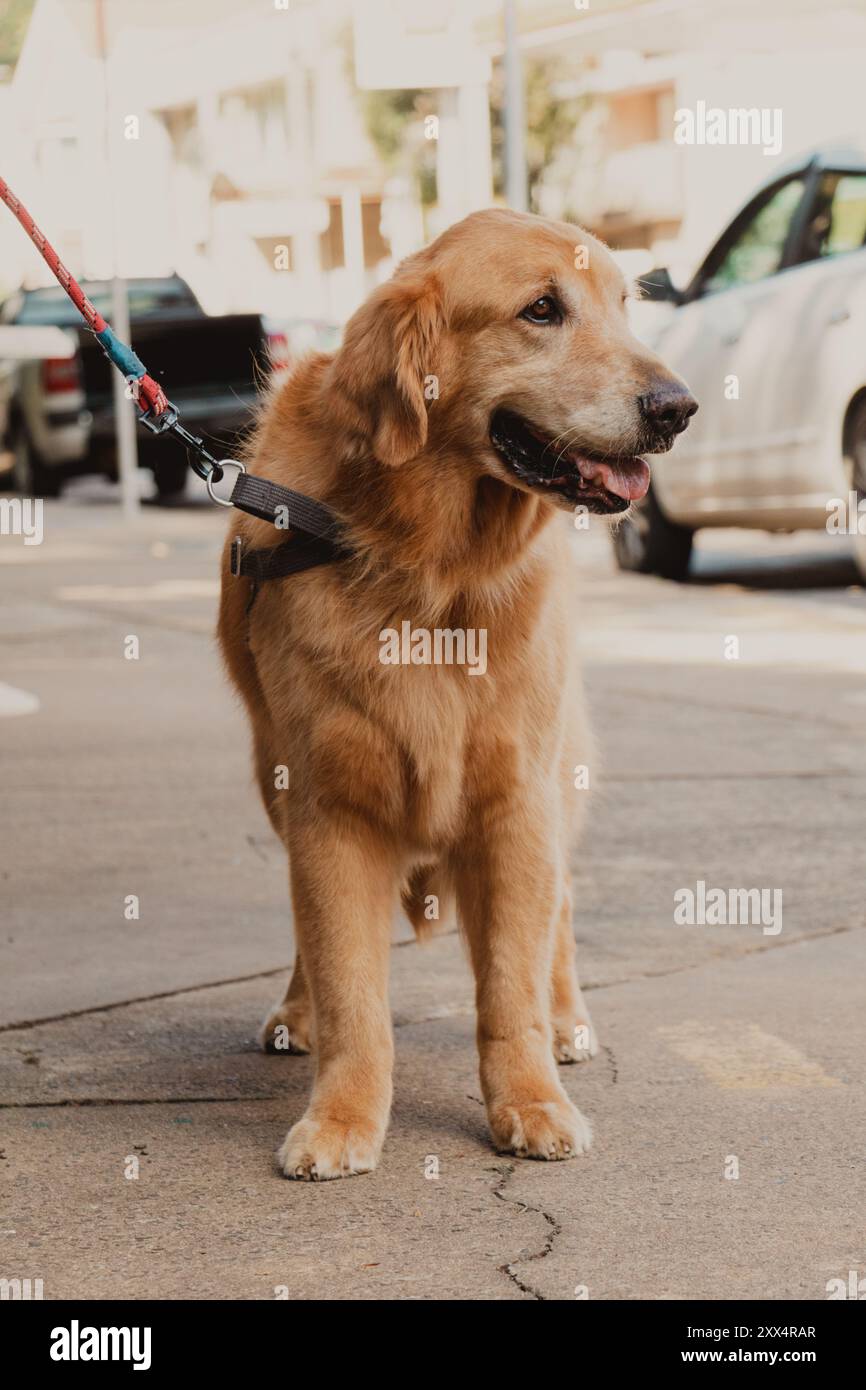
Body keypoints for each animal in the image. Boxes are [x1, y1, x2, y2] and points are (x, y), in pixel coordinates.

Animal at [218, 208, 697, 1184]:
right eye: (542, 309)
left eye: (626, 305)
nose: (677, 408)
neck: (435, 575)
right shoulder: (329, 806)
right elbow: (350, 984)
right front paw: (343, 1117)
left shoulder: (516, 799)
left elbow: (510, 983)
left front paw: (530, 1103)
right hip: (273, 774)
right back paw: (298, 1013)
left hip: (556, 777)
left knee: (559, 913)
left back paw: (567, 1021)